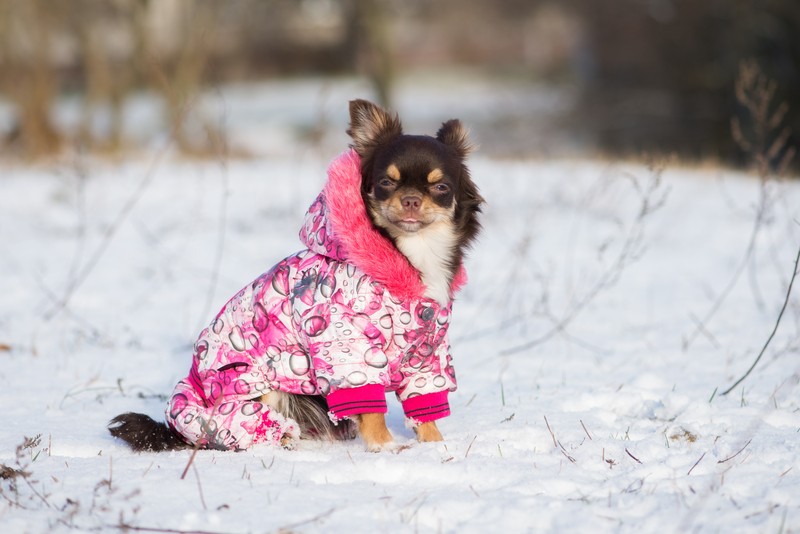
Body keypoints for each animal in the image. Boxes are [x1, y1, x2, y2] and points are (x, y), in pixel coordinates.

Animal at [108, 99, 482, 452]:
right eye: (386, 183)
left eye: (441, 187)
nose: (410, 200)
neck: (411, 253)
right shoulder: (345, 345)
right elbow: (369, 404)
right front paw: (385, 446)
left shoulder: (427, 352)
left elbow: (423, 401)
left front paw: (434, 445)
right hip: (253, 381)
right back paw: (283, 438)